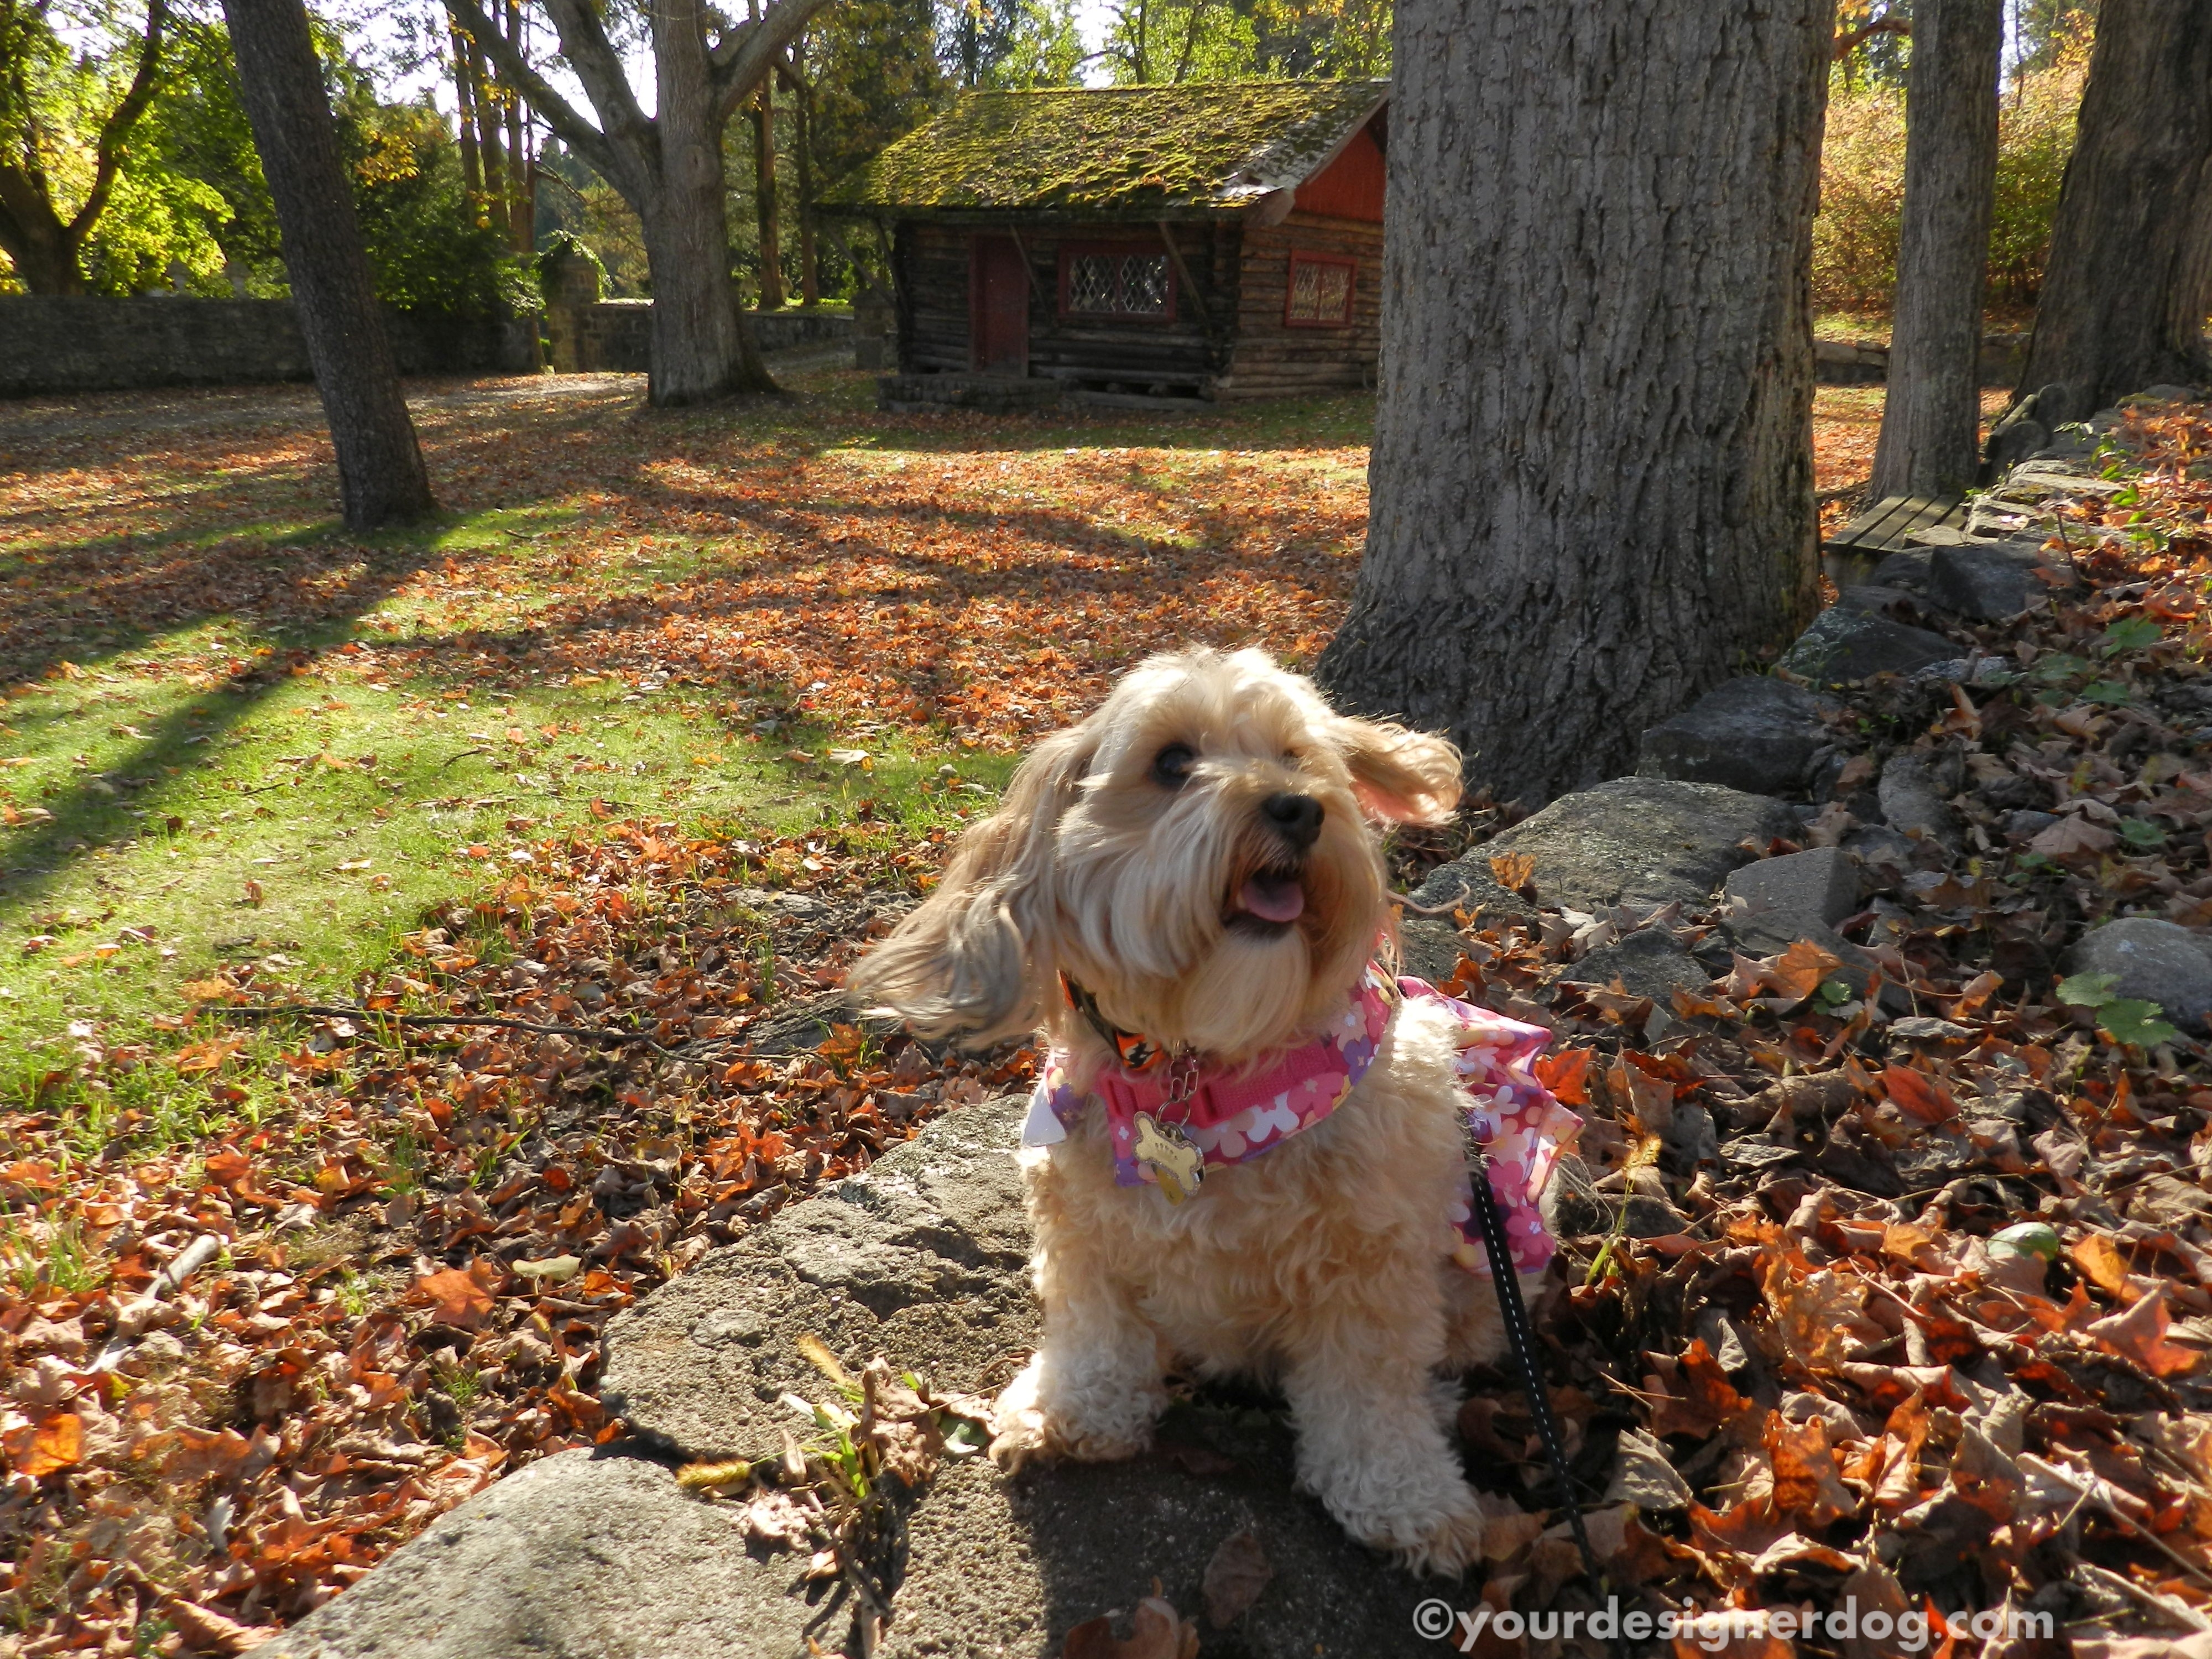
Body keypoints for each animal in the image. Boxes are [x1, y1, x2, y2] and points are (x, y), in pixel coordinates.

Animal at [854, 646, 1548, 1575]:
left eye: (1297, 755)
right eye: (1172, 762)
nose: (1299, 807)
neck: (1203, 1070)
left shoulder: (1372, 1272)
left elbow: (1371, 1397)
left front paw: (1407, 1499)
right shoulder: (1084, 1237)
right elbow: (1097, 1338)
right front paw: (1072, 1414)